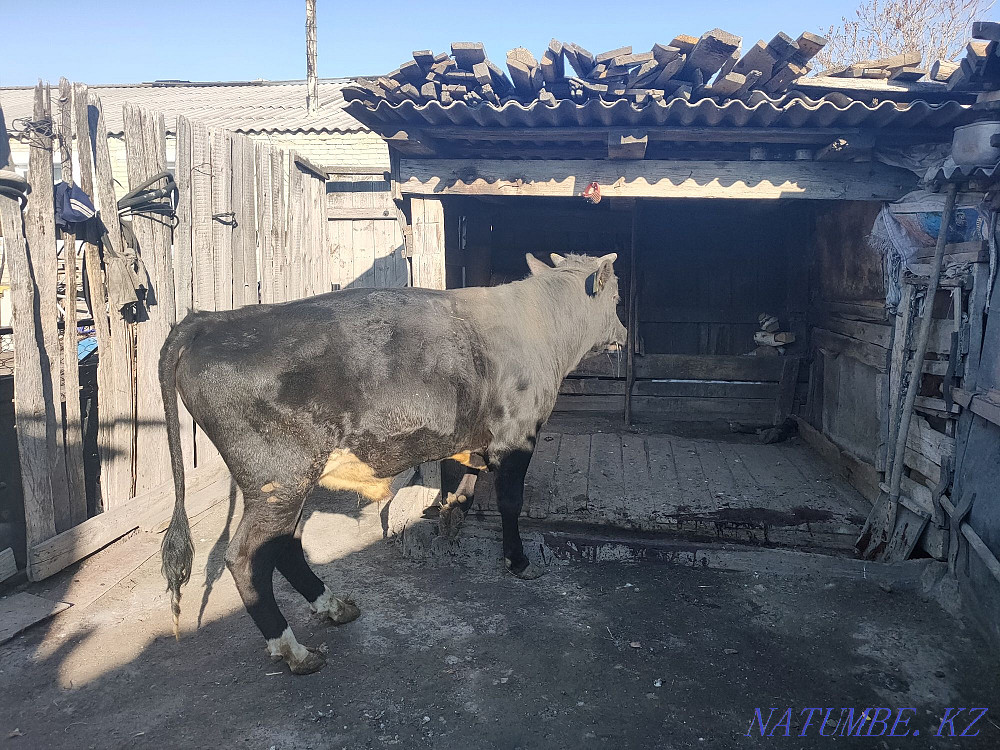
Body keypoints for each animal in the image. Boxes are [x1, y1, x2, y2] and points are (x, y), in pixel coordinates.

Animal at [159, 252, 626, 674]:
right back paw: (295, 650)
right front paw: (519, 561)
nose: (623, 330)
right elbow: (510, 502)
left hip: (288, 484)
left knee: (285, 546)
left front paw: (450, 518)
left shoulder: (471, 438)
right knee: (245, 557)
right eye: (617, 296)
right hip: (277, 481)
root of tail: (208, 320)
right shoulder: (517, 437)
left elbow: (464, 482)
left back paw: (332, 606)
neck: (541, 327)